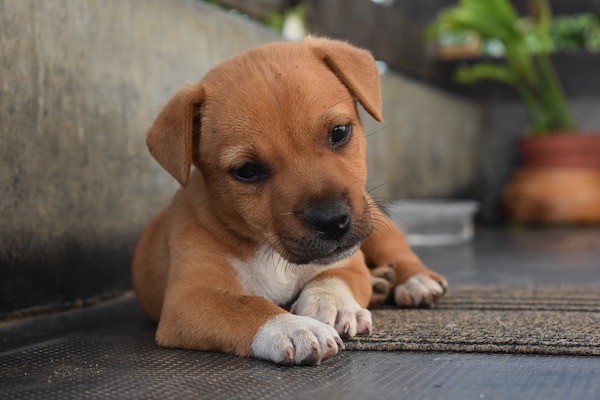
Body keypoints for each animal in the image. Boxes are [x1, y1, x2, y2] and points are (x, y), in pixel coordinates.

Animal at [135, 36, 446, 366]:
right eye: (247, 170)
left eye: (339, 132)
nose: (332, 221)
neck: (268, 248)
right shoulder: (188, 300)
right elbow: (246, 305)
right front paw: (294, 328)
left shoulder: (349, 263)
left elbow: (332, 278)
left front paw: (328, 305)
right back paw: (380, 283)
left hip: (376, 225)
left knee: (397, 250)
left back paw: (416, 281)